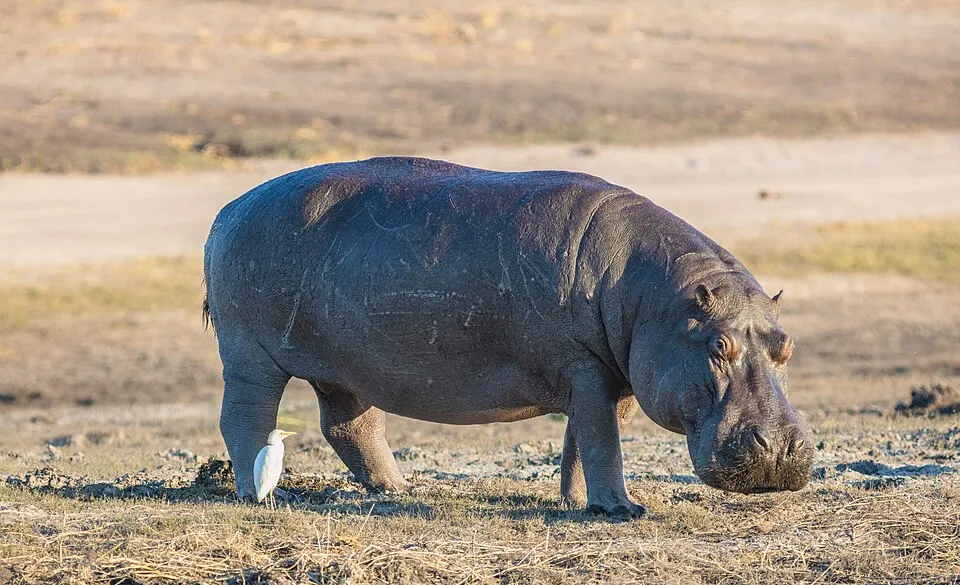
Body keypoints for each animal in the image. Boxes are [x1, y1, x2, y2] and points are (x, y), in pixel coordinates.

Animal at [203, 156, 814, 517]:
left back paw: (399, 490)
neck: (655, 298)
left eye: (786, 345)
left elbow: (587, 441)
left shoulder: (613, 374)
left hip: (349, 367)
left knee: (349, 425)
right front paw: (622, 510)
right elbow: (600, 440)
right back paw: (256, 495)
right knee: (244, 418)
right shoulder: (585, 368)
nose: (781, 451)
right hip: (249, 355)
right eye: (719, 347)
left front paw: (581, 502)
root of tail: (228, 210)